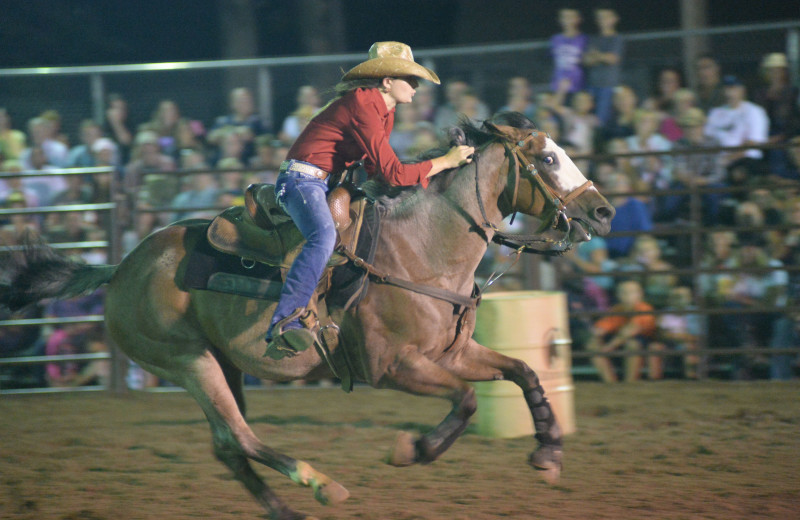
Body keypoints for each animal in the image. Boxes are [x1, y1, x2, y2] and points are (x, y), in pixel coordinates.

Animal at [0, 114, 612, 520]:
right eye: (548, 158)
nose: (603, 209)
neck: (421, 249)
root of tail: (121, 266)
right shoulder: (394, 367)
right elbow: (464, 401)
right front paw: (414, 450)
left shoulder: (454, 353)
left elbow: (525, 373)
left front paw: (548, 453)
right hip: (187, 361)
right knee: (241, 438)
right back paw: (320, 485)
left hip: (223, 363)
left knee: (227, 446)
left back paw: (289, 510)